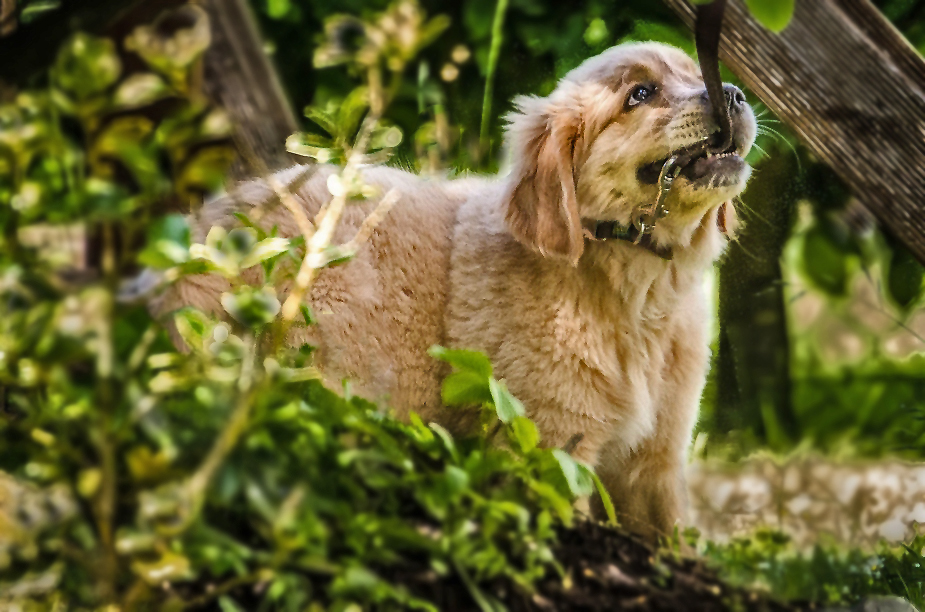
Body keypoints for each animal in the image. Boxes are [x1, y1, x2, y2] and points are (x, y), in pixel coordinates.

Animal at [152, 43, 756, 536]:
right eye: (641, 93)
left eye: (699, 72)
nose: (733, 94)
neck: (636, 285)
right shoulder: (546, 446)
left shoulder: (655, 463)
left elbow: (673, 540)